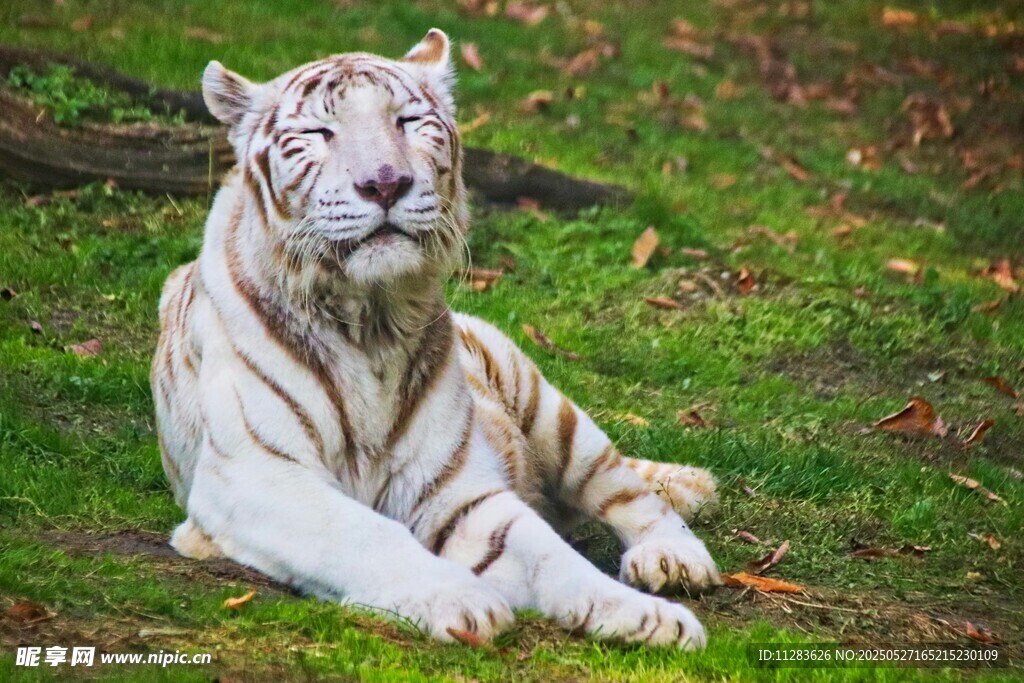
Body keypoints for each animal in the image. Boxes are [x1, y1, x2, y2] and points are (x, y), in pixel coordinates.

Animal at [151, 29, 720, 649]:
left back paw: (672, 559)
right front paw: (458, 598)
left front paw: (645, 616)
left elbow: (552, 557)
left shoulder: (457, 490)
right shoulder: (259, 473)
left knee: (629, 491)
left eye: (407, 121)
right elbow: (365, 534)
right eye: (320, 133)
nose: (385, 183)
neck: (370, 320)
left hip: (553, 413)